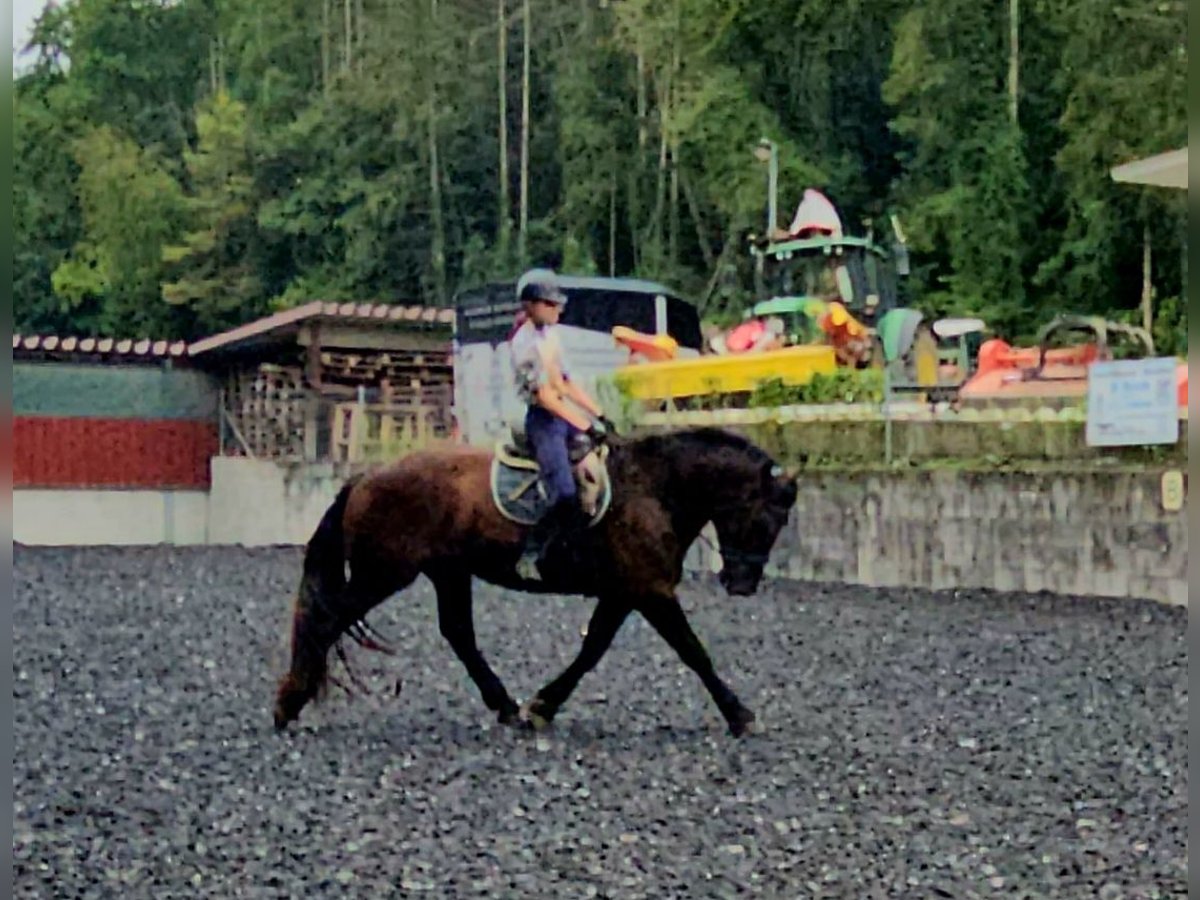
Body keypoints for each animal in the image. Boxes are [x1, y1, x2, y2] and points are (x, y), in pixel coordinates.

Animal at [273, 429, 796, 739]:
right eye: (766, 520)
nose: (741, 583)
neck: (652, 489)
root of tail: (365, 477)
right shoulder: (650, 591)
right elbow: (694, 651)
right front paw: (740, 715)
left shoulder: (624, 592)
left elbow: (592, 650)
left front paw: (543, 705)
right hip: (383, 574)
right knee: (326, 619)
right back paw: (287, 704)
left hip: (447, 572)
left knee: (458, 634)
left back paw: (506, 706)